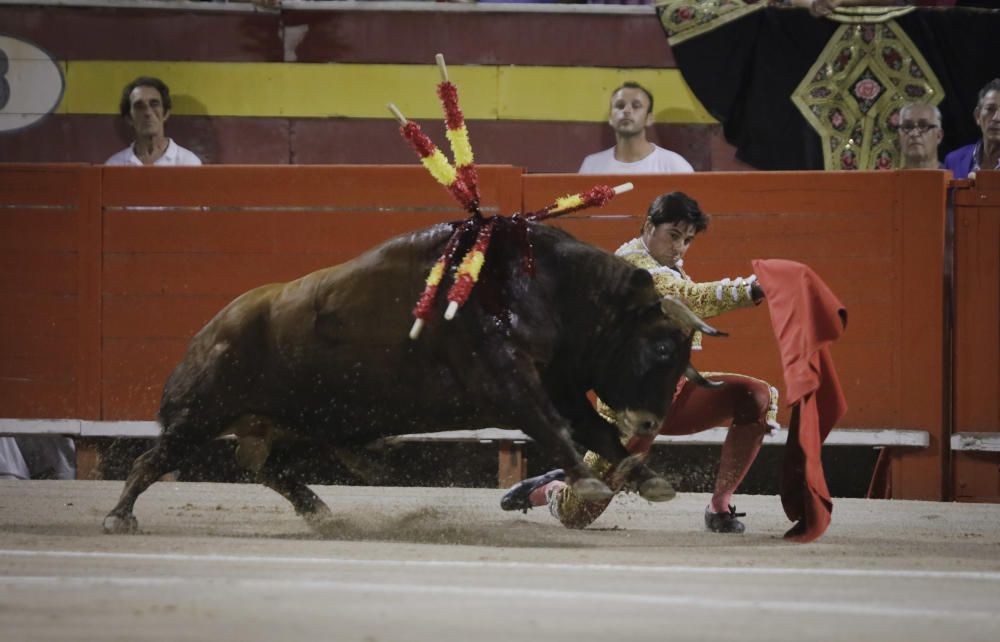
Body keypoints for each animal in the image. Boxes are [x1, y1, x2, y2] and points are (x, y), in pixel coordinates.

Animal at [103, 219, 720, 528]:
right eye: (659, 347)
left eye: (682, 356)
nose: (651, 422)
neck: (548, 288)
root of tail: (210, 330)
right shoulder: (511, 384)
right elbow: (555, 428)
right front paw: (591, 478)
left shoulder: (561, 386)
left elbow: (596, 430)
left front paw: (649, 479)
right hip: (203, 413)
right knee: (153, 459)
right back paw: (118, 516)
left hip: (299, 418)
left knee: (259, 463)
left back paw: (319, 508)